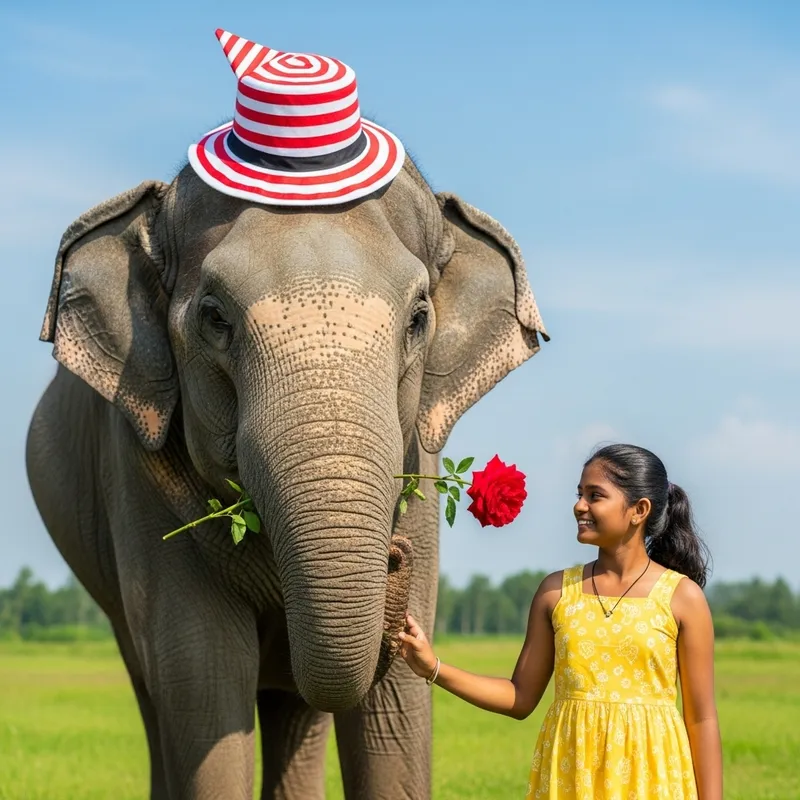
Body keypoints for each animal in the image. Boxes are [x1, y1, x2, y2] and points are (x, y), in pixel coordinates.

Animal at [25, 154, 548, 799]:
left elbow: (393, 715)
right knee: (157, 692)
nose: (394, 554)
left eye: (419, 319)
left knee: (295, 709)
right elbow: (204, 679)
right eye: (214, 318)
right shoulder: (135, 473)